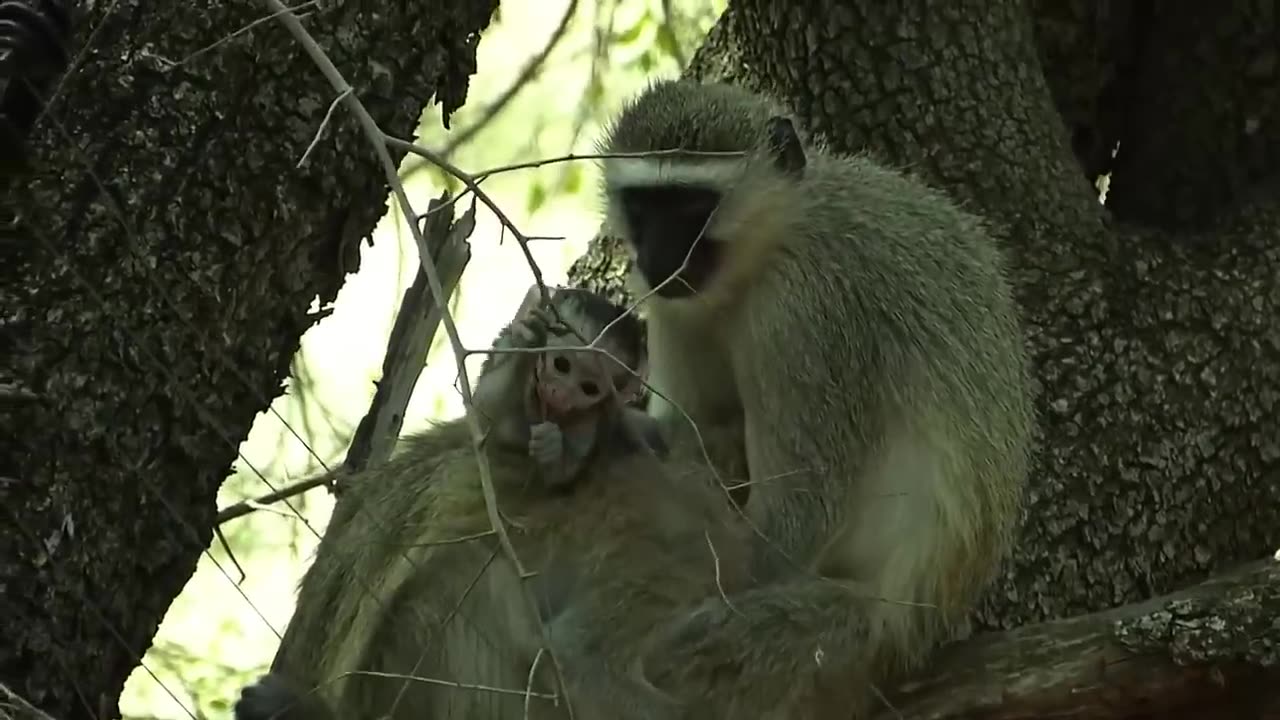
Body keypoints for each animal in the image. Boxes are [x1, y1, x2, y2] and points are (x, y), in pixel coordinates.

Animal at [593, 75, 1034, 712]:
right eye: (643, 207)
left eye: (693, 208)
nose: (657, 259)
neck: (772, 243)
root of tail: (919, 633)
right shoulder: (674, 309)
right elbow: (685, 431)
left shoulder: (803, 313)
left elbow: (803, 507)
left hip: (843, 642)